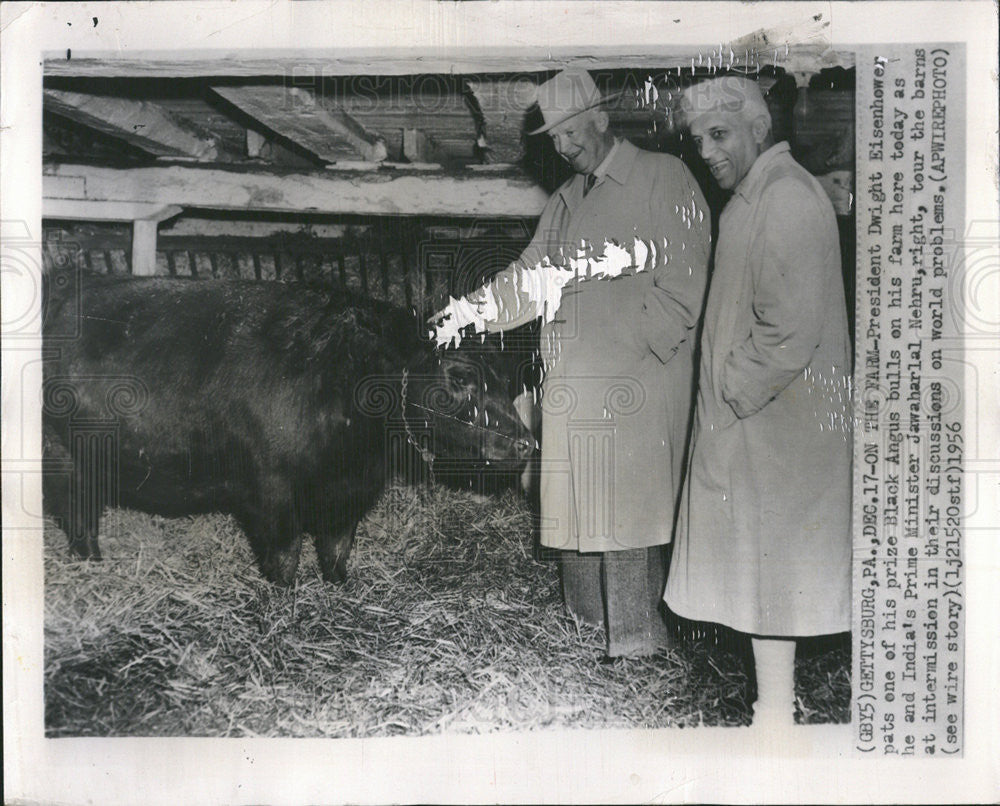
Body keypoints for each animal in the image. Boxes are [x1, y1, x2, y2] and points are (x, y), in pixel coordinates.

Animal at [43, 274, 536, 584]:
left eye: (506, 375)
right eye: (460, 376)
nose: (526, 443)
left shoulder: (349, 490)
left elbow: (336, 547)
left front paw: (340, 586)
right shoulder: (270, 493)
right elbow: (285, 557)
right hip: (62, 456)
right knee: (78, 514)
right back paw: (92, 563)